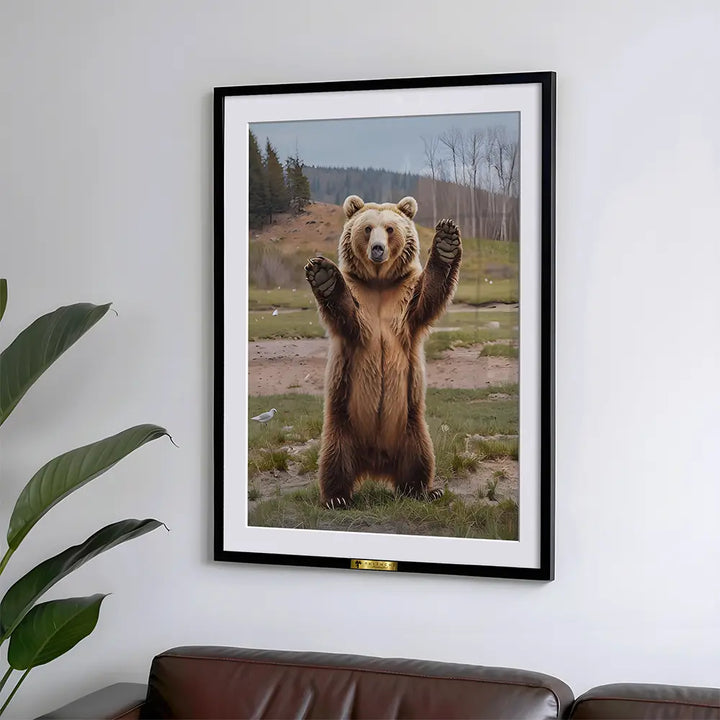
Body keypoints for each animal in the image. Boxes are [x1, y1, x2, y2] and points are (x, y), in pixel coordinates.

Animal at [304, 195, 461, 509]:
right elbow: (347, 315)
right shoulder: (360, 298)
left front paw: (447, 242)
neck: (378, 282)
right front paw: (323, 274)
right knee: (334, 458)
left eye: (389, 228)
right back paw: (336, 497)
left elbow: (428, 295)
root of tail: (375, 463)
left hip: (410, 423)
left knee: (420, 456)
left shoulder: (403, 297)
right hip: (343, 421)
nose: (378, 249)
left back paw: (424, 490)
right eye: (367, 229)